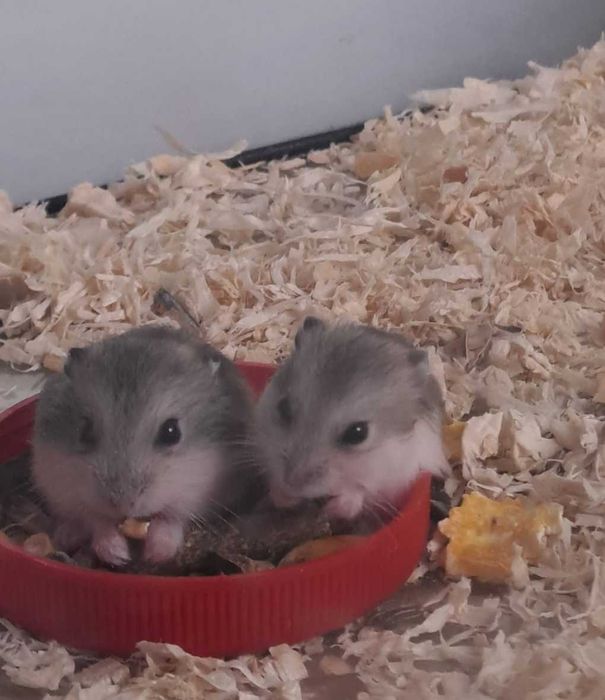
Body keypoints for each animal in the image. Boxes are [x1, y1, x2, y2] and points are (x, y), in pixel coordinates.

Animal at [32, 325, 259, 567]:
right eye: (84, 430)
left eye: (171, 432)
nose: (123, 505)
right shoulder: (62, 486)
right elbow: (96, 520)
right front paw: (118, 555)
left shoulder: (199, 495)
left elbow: (173, 518)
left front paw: (155, 554)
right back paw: (65, 535)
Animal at [255, 317, 449, 522]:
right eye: (284, 408)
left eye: (358, 433)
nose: (292, 482)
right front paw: (284, 497)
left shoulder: (394, 477)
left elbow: (357, 493)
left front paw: (328, 511)